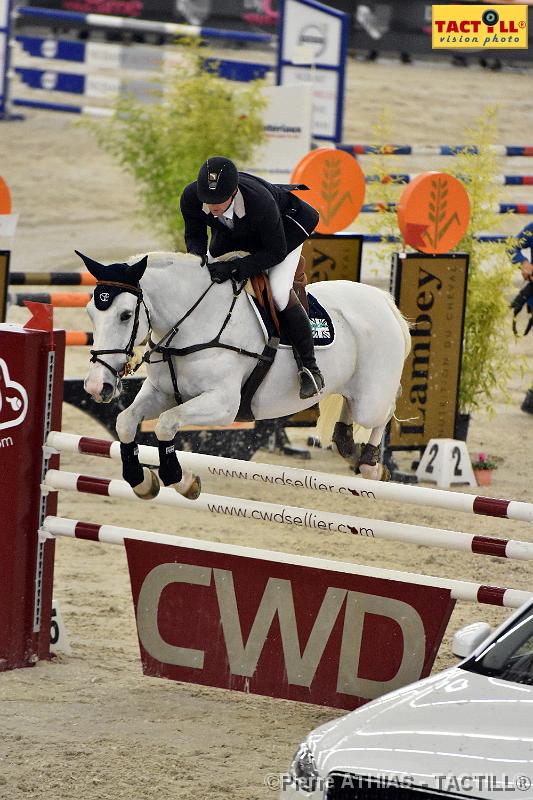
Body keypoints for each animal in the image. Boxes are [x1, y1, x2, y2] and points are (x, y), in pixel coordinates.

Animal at [79, 250, 412, 500]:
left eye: (125, 315)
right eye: (90, 313)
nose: (96, 386)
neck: (194, 323)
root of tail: (382, 300)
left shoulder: (223, 405)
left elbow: (166, 424)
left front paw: (183, 481)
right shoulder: (161, 393)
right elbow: (125, 422)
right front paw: (142, 481)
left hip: (371, 398)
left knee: (383, 410)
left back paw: (371, 465)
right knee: (349, 405)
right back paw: (347, 446)